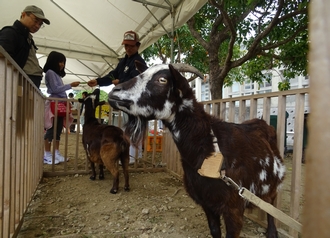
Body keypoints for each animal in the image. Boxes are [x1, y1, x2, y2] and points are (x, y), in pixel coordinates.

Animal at [108, 62, 286, 237]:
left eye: (162, 80)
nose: (114, 92)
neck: (208, 149)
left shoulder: (234, 207)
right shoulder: (207, 203)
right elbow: (214, 231)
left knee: (272, 202)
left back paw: (272, 232)